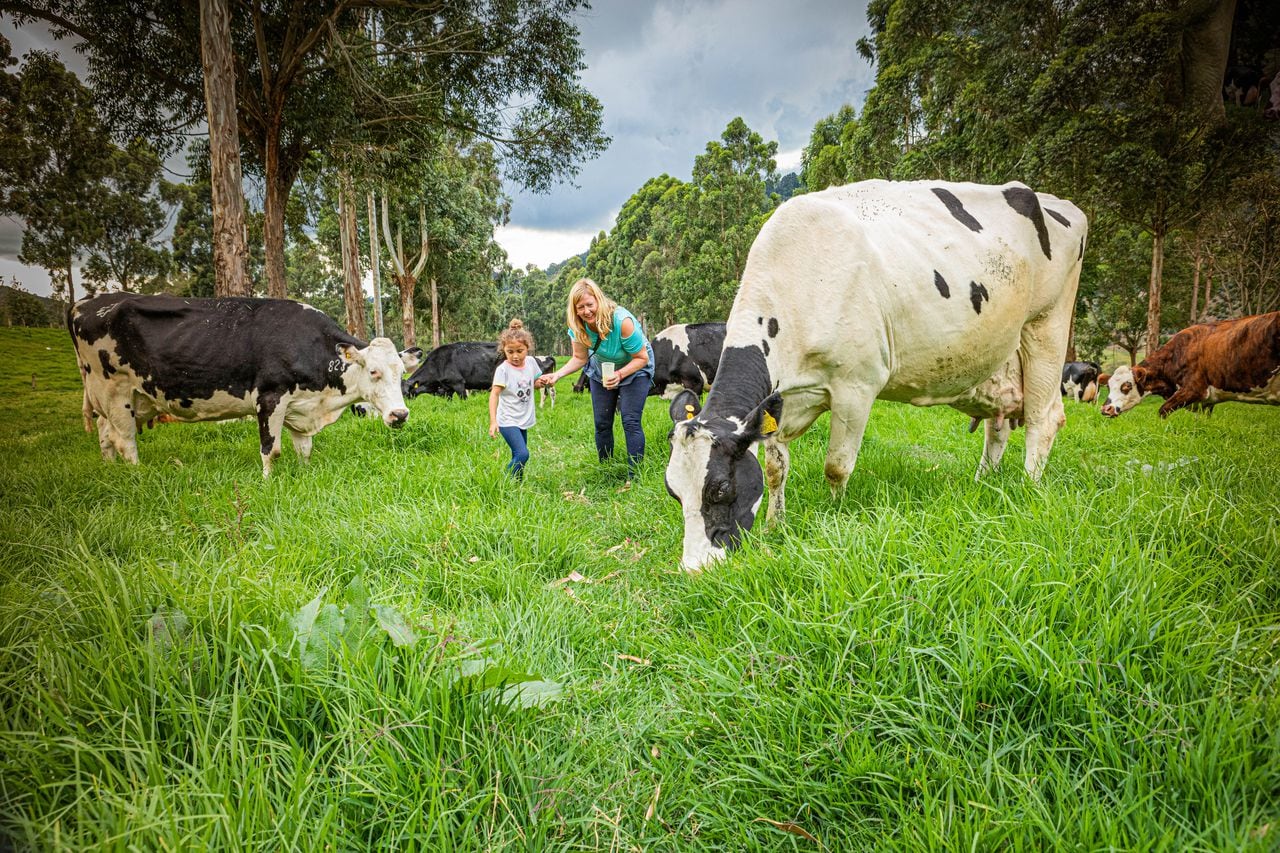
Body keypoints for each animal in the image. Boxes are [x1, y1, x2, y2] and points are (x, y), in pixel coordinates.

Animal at [71, 292, 419, 473]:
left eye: (401, 372)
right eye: (373, 372)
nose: (400, 415)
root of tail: (84, 302)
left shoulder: (301, 406)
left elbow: (304, 449)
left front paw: (305, 474)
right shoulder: (269, 398)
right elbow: (271, 449)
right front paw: (267, 483)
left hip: (128, 399)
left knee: (105, 434)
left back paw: (110, 470)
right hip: (115, 392)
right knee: (125, 441)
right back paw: (136, 475)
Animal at [665, 176, 1085, 568]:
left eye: (720, 488)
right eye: (673, 491)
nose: (695, 568)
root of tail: (1055, 201)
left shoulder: (856, 386)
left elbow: (836, 467)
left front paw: (833, 516)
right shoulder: (780, 402)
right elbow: (774, 468)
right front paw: (774, 525)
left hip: (1047, 326)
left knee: (1043, 419)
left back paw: (1028, 487)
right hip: (999, 358)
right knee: (997, 427)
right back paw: (983, 484)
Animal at [1100, 312, 1280, 417]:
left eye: (1127, 386)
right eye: (1108, 386)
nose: (1105, 409)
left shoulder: (1194, 389)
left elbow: (1162, 411)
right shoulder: (1205, 405)